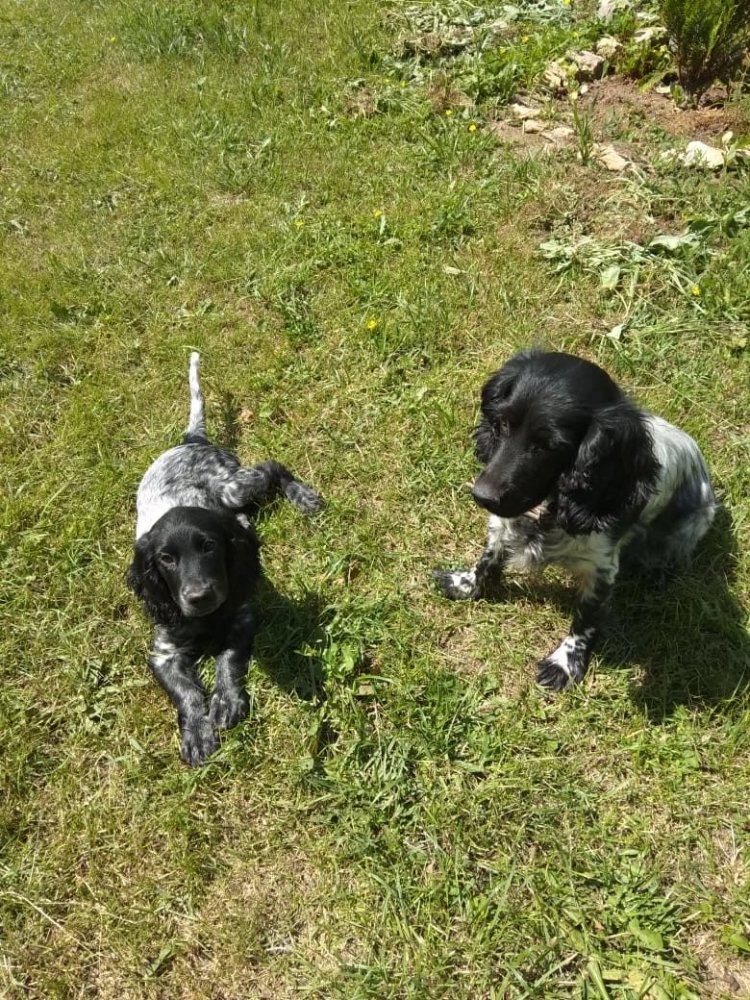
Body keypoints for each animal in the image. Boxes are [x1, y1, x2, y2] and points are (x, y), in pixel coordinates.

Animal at [127, 353, 322, 764]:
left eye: (209, 547)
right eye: (165, 559)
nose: (199, 596)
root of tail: (191, 440)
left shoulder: (242, 613)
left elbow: (229, 660)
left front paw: (226, 701)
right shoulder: (164, 651)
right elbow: (186, 692)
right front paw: (197, 732)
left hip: (231, 486)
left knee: (271, 467)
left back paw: (303, 496)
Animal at [434, 350, 716, 690]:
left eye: (550, 446)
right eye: (501, 423)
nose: (482, 496)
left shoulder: (601, 567)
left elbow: (586, 619)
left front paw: (565, 664)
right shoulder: (502, 525)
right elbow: (488, 559)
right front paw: (466, 584)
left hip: (695, 520)